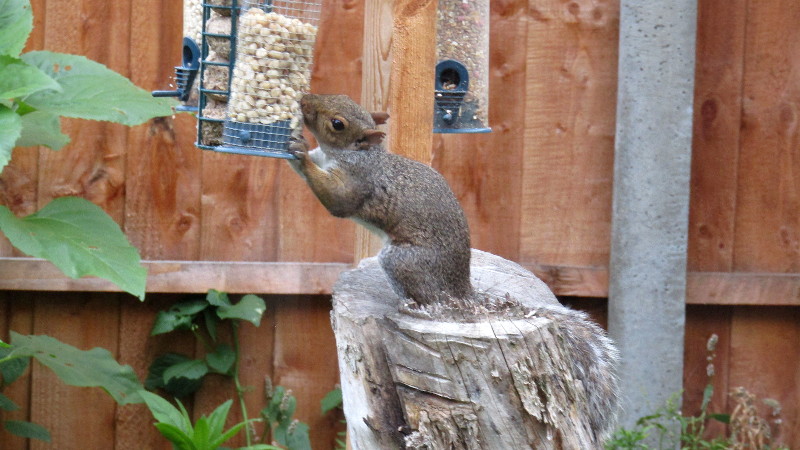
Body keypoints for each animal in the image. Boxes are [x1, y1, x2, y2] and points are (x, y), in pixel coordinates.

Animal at [290, 94, 476, 306]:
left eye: (337, 124)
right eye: (342, 96)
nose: (304, 100)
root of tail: (461, 287)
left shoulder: (358, 178)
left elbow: (338, 199)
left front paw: (302, 154)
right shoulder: (321, 158)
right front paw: (297, 142)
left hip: (404, 261)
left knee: (430, 296)